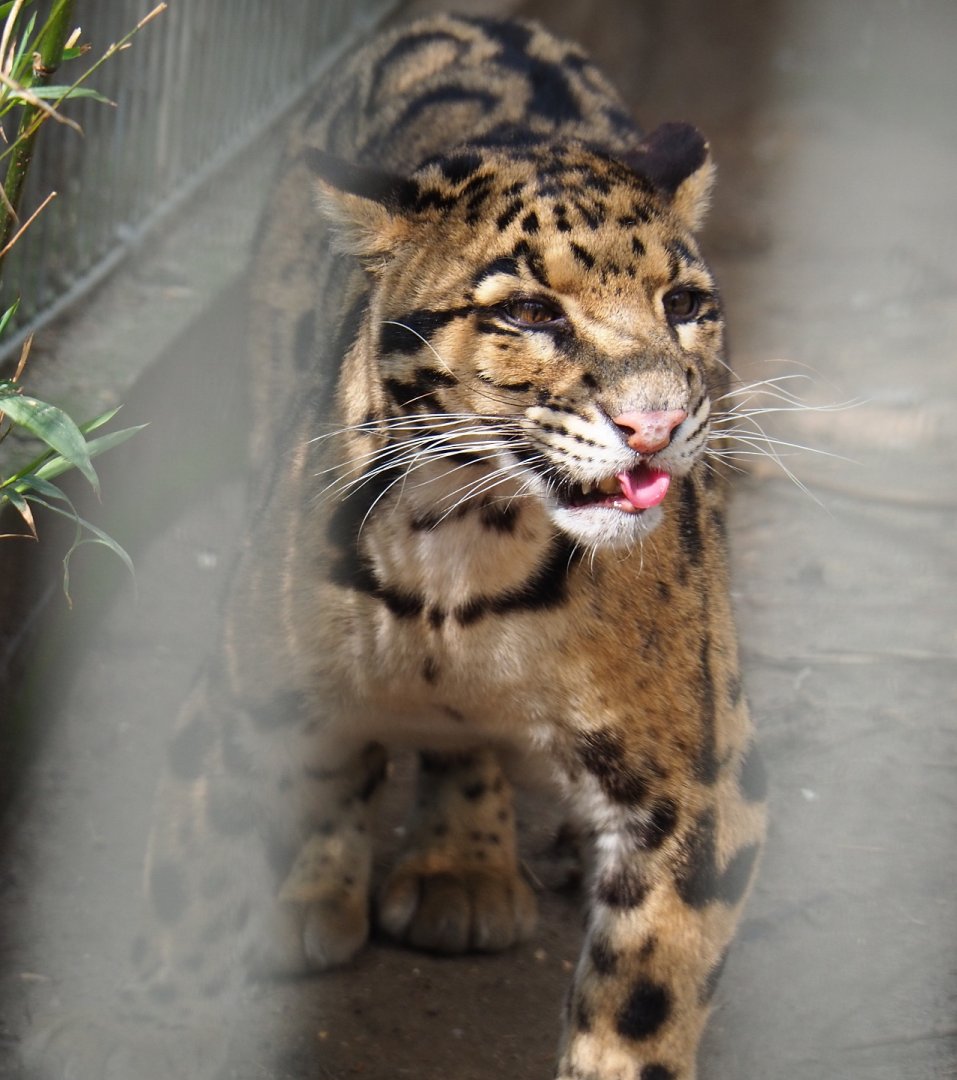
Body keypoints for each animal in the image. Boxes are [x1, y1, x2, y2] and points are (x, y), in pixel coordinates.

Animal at [24, 13, 768, 1080]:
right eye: (530, 313)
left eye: (683, 304)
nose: (657, 424)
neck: (469, 545)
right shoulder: (235, 705)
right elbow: (188, 900)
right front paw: (162, 1019)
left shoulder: (696, 789)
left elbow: (640, 1009)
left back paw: (463, 865)